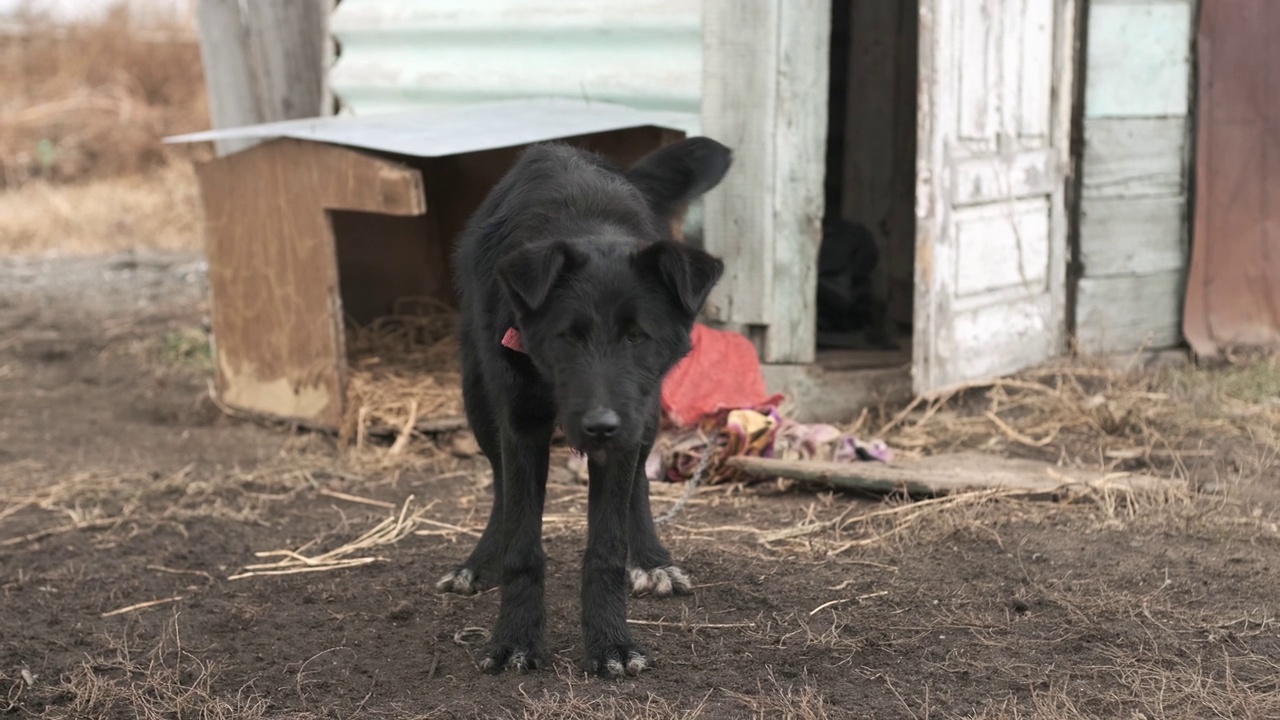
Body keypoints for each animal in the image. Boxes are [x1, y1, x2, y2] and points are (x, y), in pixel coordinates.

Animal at [435, 137, 732, 676]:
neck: (587, 224)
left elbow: (608, 547)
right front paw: (515, 639)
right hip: (478, 398)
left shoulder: (626, 428)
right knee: (499, 484)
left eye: (637, 336)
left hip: (646, 413)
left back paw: (652, 561)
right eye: (567, 338)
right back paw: (480, 562)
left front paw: (612, 643)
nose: (599, 427)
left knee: (639, 483)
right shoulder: (520, 423)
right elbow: (522, 544)